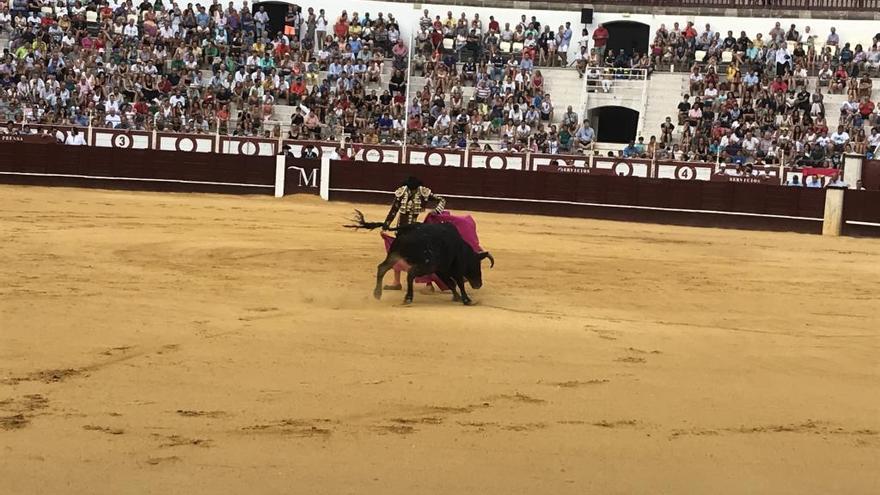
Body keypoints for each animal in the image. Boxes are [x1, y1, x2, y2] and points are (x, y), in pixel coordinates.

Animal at [346, 210, 496, 306]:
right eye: (476, 265)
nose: (478, 284)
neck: (461, 249)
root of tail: (406, 229)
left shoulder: (441, 270)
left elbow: (450, 283)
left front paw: (457, 297)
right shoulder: (453, 269)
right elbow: (458, 283)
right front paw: (466, 300)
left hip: (394, 255)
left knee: (382, 268)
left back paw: (377, 294)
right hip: (425, 265)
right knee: (410, 274)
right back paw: (408, 298)